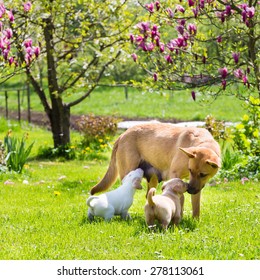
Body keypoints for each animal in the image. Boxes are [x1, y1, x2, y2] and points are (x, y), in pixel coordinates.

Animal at [90, 123, 220, 219]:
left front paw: (195, 220)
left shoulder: (197, 185)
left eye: (203, 174)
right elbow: (181, 198)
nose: (190, 190)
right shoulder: (175, 175)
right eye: (190, 170)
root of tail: (122, 135)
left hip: (153, 180)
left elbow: (196, 205)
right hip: (128, 174)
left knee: (148, 196)